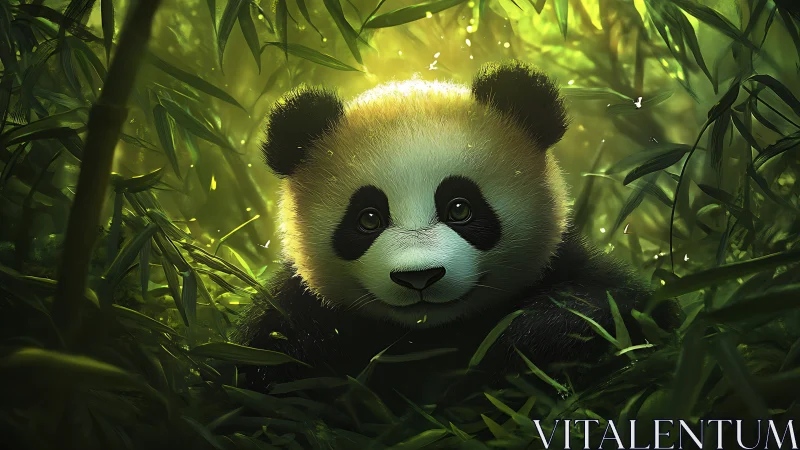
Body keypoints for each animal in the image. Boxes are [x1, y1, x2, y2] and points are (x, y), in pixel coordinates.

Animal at [234, 61, 681, 407]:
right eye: (368, 218)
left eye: (460, 208)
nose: (419, 277)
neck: (431, 336)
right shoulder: (296, 316)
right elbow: (271, 374)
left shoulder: (565, 264)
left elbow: (627, 313)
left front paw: (526, 339)